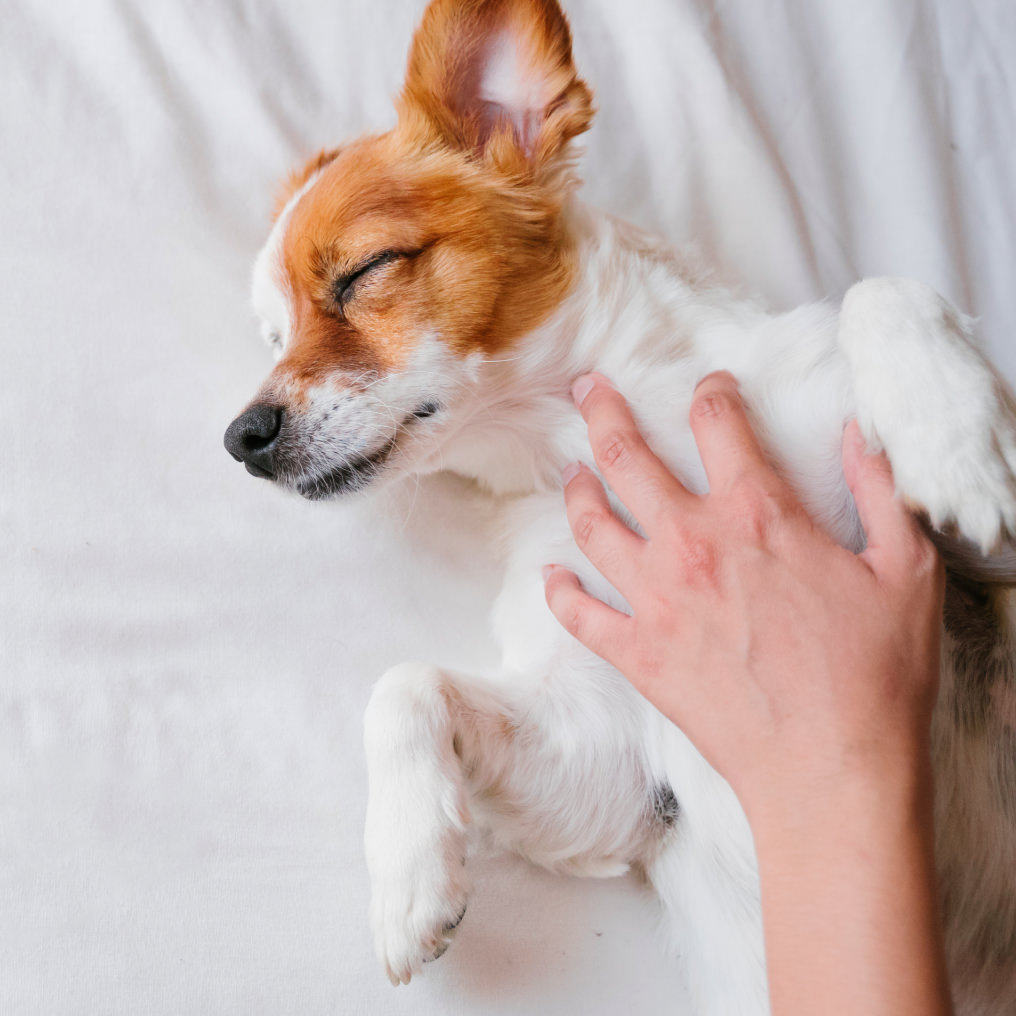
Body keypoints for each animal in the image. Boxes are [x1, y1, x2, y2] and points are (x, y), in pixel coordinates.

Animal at [226, 1, 1016, 1007]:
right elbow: (404, 684)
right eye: (273, 338)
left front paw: (954, 444)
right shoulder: (621, 769)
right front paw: (408, 877)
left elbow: (884, 290)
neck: (581, 435)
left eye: (367, 270)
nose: (241, 437)